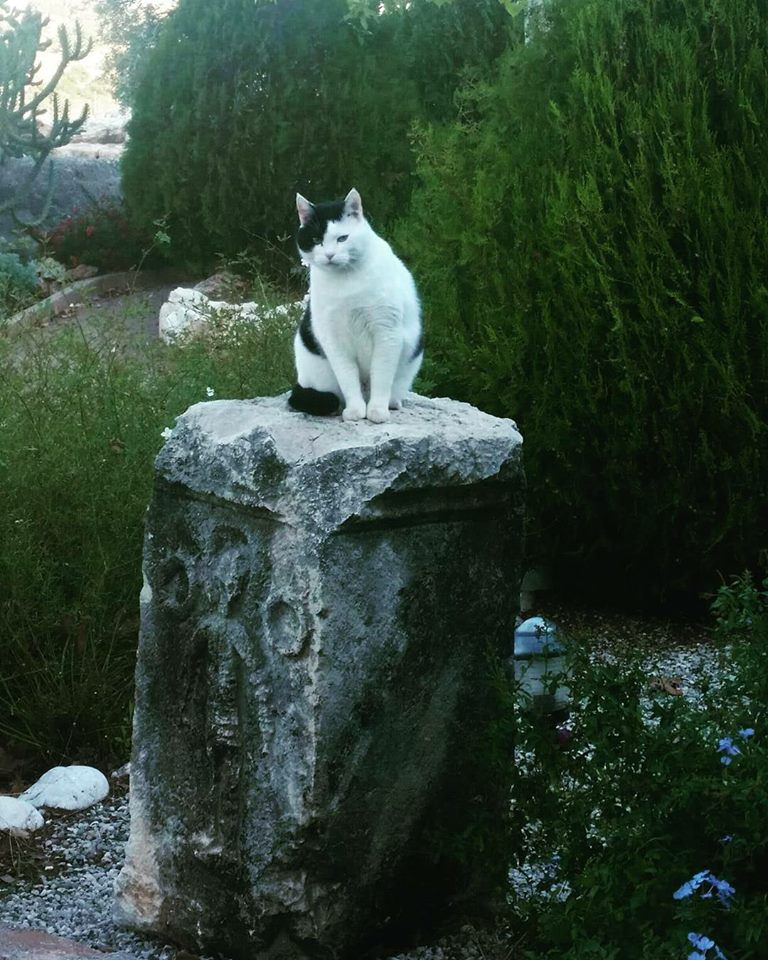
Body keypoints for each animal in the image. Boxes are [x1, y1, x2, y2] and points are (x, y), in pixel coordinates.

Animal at [288, 189, 424, 422]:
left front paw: (377, 410)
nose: (329, 255)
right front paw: (355, 410)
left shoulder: (386, 331)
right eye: (316, 239)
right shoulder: (332, 338)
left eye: (342, 238)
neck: (346, 282)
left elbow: (382, 377)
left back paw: (391, 402)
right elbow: (348, 379)